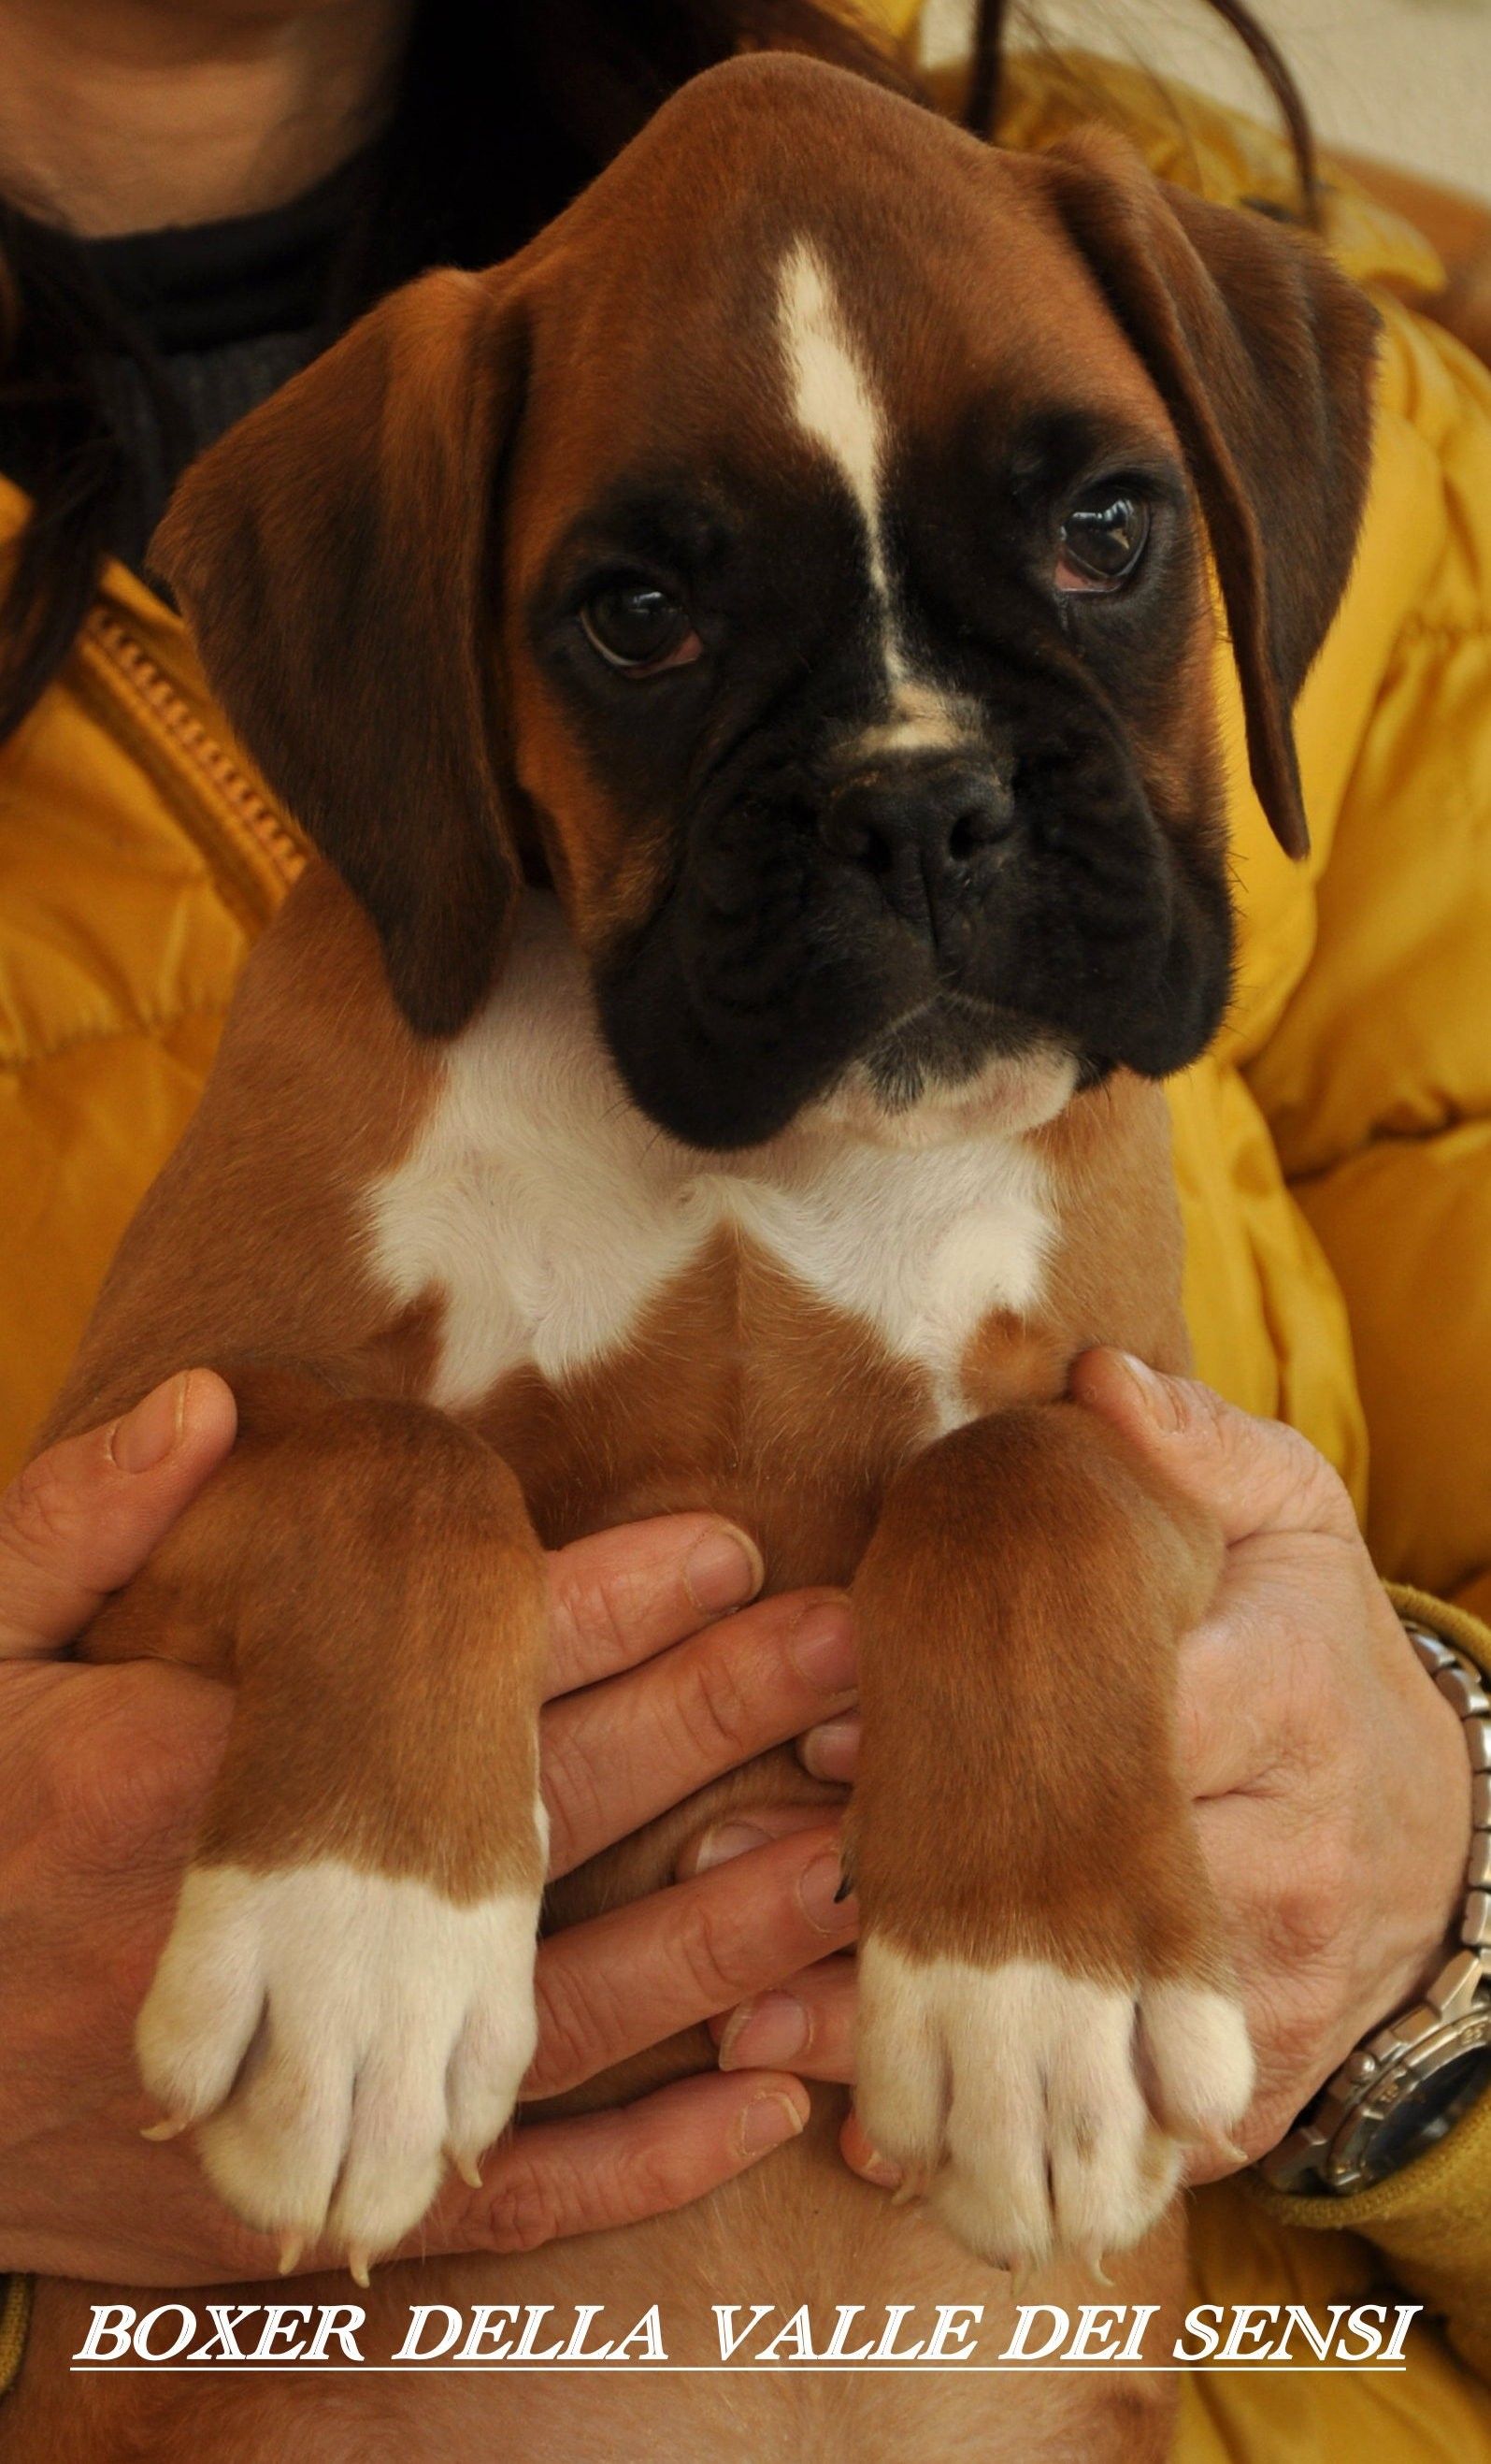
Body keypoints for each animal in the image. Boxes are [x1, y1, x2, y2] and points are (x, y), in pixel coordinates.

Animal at [20, 57, 1369, 2464]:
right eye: (634, 613)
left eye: (1105, 530)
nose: (916, 806)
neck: (756, 1165)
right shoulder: (132, 1461)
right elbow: (396, 1468)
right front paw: (360, 1952)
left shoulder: (1158, 1427)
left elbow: (1008, 1481)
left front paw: (1032, 1989)